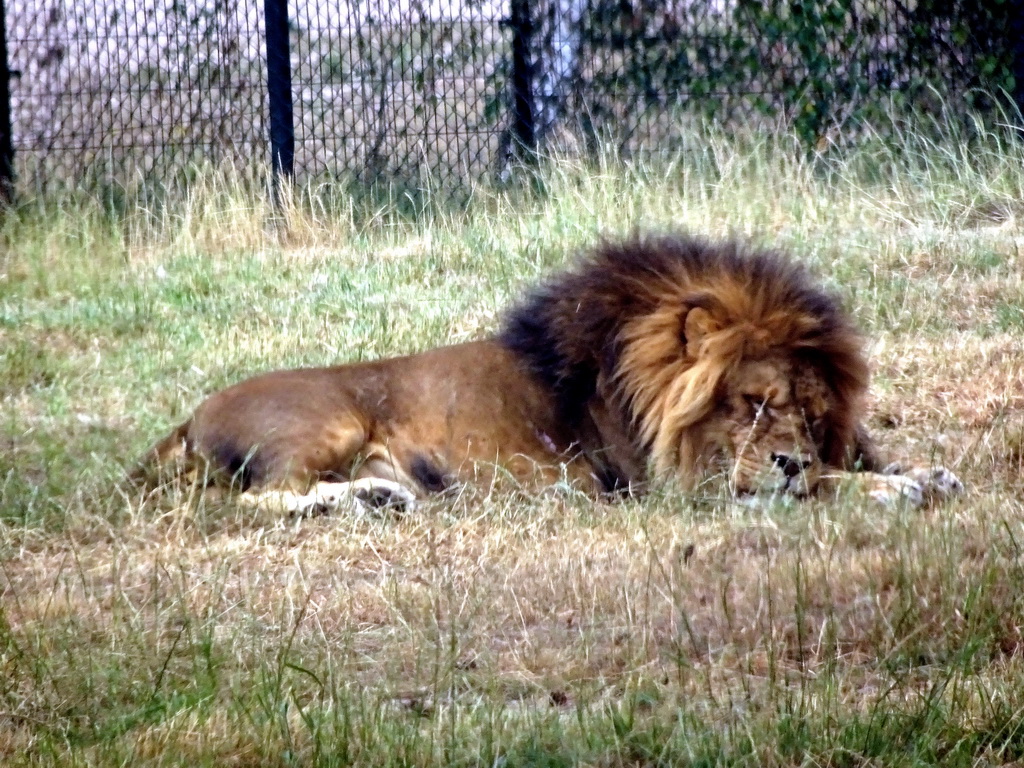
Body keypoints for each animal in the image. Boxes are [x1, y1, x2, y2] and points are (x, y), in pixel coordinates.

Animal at [132, 231, 962, 514]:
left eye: (812, 412)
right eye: (752, 402)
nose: (790, 456)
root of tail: (186, 420)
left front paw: (925, 472)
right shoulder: (670, 488)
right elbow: (819, 487)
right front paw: (888, 487)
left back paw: (380, 496)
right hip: (327, 421)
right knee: (259, 499)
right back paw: (364, 499)